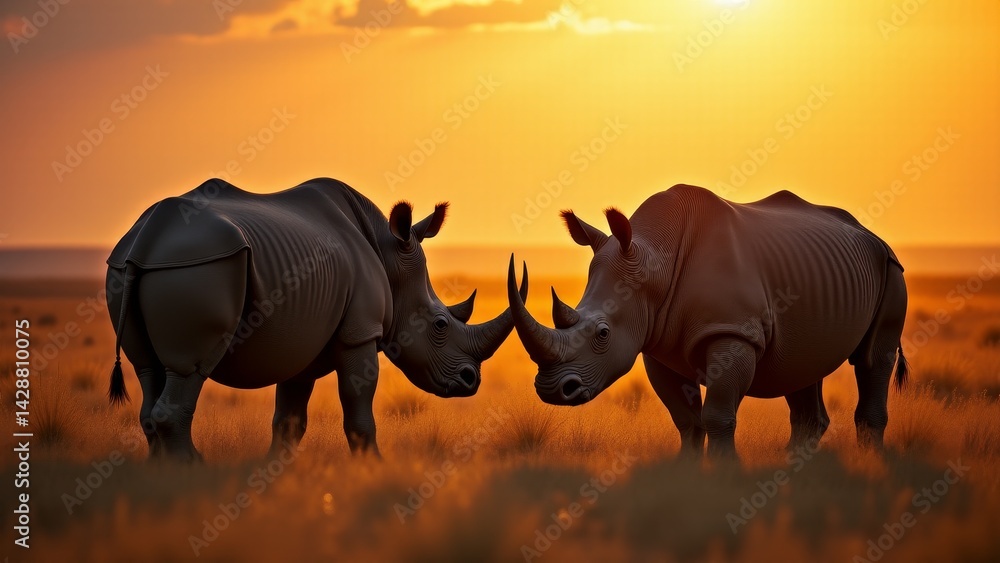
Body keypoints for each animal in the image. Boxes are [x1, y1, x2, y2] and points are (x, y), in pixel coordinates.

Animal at [106, 177, 526, 462]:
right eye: (440, 325)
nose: (470, 381)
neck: (391, 254)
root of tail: (146, 239)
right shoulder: (360, 332)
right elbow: (358, 407)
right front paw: (374, 467)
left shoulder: (302, 339)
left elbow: (290, 419)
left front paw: (275, 473)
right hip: (201, 266)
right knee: (188, 370)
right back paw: (192, 470)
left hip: (126, 268)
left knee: (148, 369)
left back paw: (161, 474)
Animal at [507, 185, 908, 458]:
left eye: (603, 334)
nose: (552, 390)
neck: (655, 260)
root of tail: (872, 235)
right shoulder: (656, 342)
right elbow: (686, 419)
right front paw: (689, 477)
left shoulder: (734, 331)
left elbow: (718, 416)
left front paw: (724, 476)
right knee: (804, 366)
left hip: (891, 269)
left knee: (873, 359)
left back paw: (868, 464)